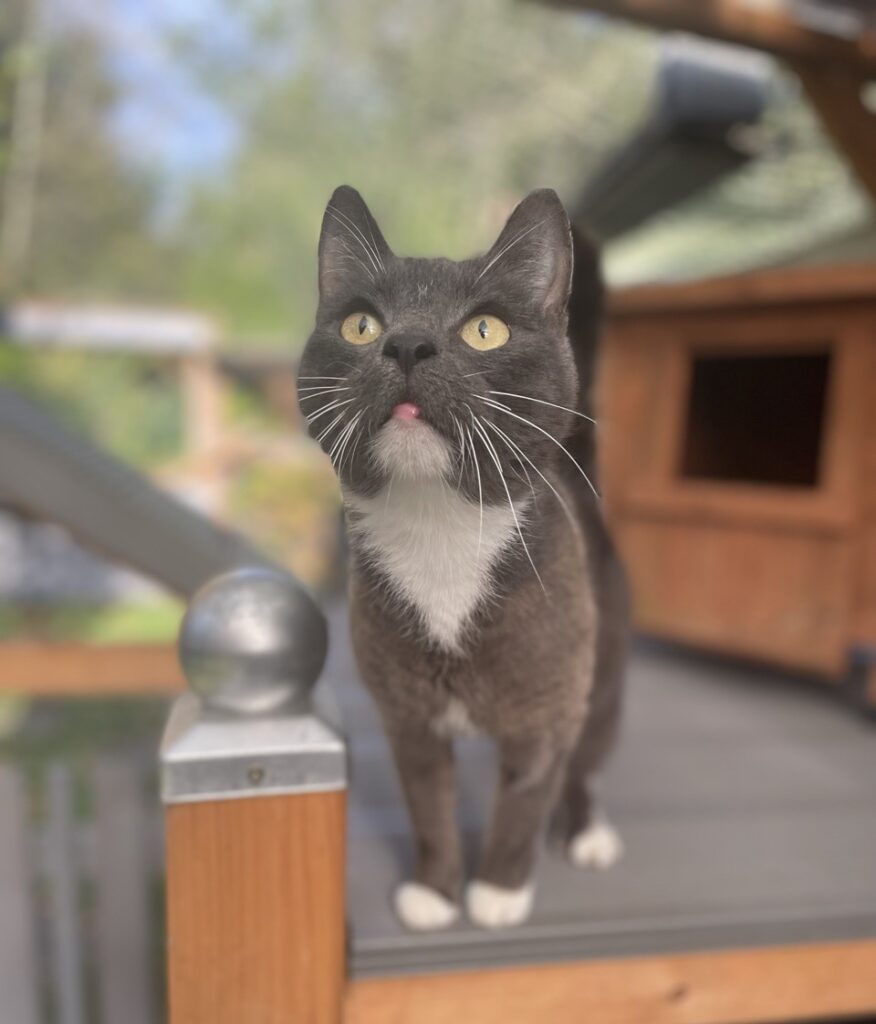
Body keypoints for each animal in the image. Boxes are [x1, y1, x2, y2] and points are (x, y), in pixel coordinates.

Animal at [297, 185, 629, 931]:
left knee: (588, 758)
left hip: (604, 665)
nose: (407, 344)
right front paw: (436, 890)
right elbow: (428, 806)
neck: (441, 532)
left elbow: (525, 800)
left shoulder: (548, 704)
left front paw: (498, 891)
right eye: (361, 324)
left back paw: (588, 829)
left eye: (485, 330)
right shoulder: (408, 717)